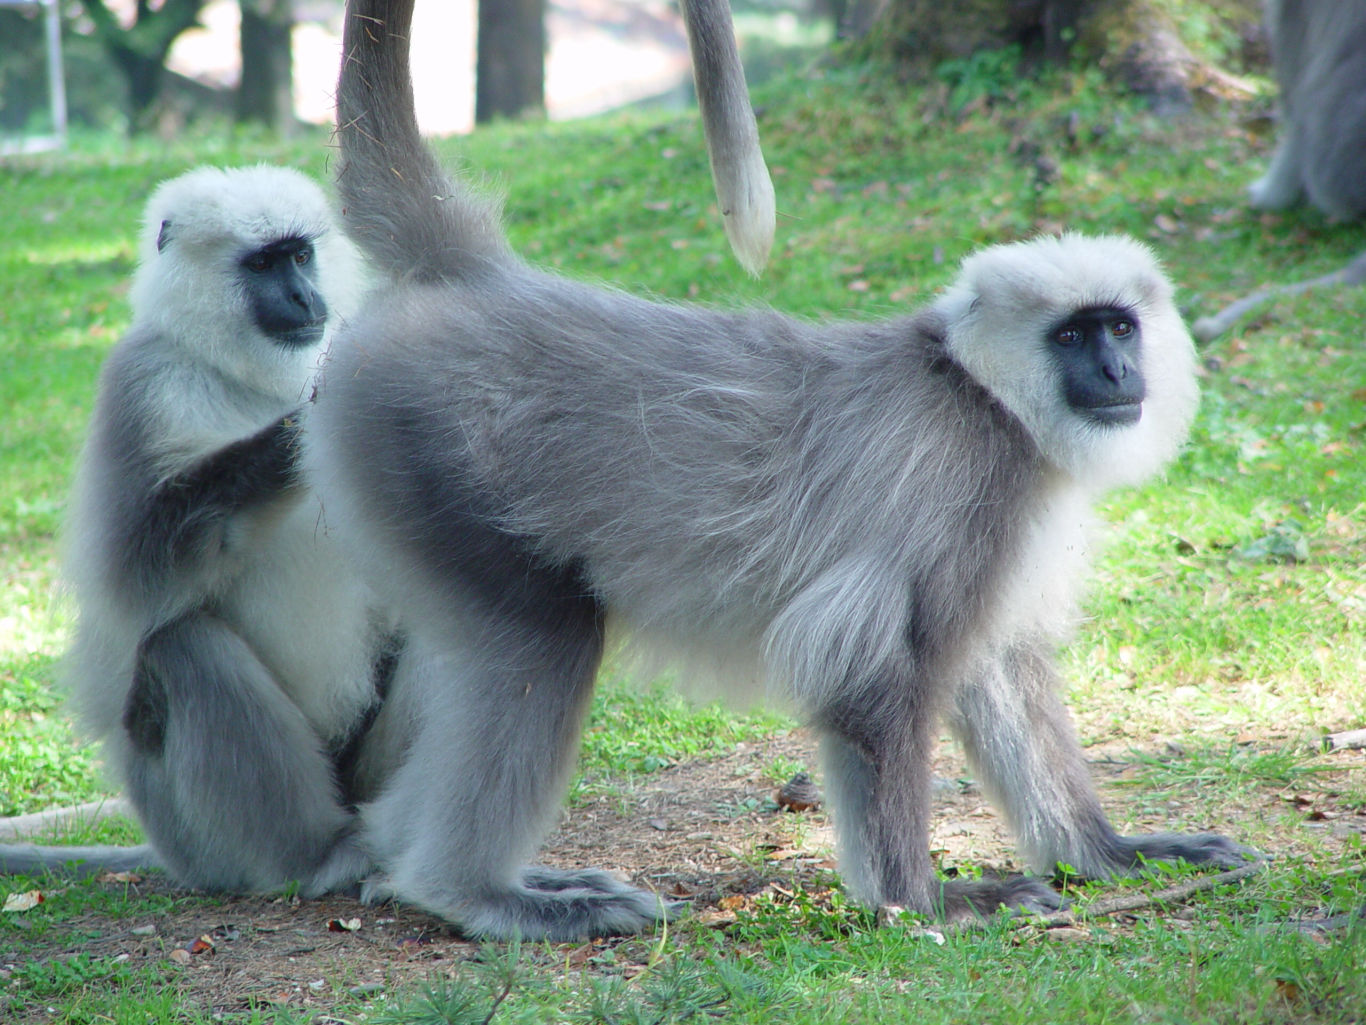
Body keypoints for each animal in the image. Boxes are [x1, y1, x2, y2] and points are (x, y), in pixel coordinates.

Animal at [0, 164, 404, 896]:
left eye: (300, 255)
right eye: (264, 264)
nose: (303, 295)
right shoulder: (140, 385)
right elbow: (134, 582)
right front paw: (292, 439)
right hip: (193, 833)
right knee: (180, 644)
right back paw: (323, 854)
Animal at [296, 0, 1256, 945]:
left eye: (1121, 327)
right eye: (1073, 335)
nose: (1117, 371)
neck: (981, 394)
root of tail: (479, 273)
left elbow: (999, 672)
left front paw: (1112, 855)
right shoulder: (958, 482)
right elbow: (872, 676)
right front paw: (924, 901)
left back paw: (405, 865)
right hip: (423, 451)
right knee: (545, 634)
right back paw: (469, 892)